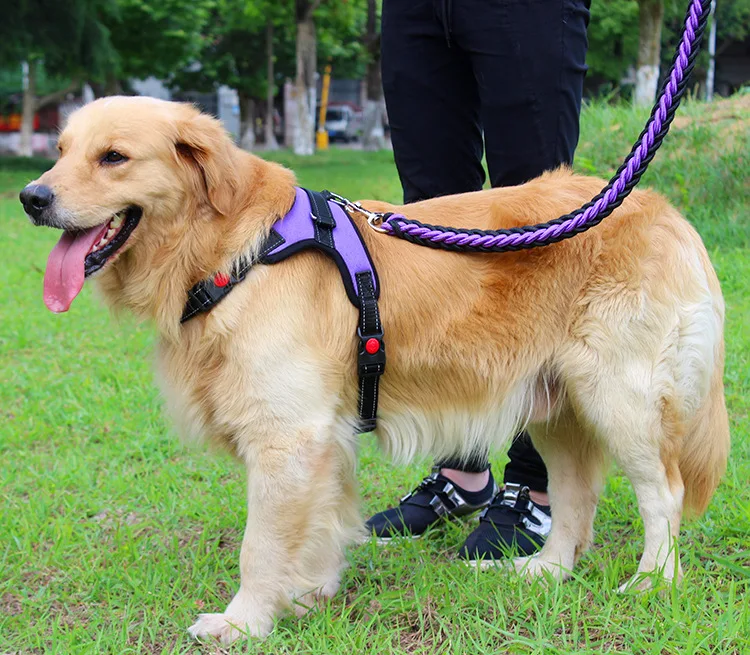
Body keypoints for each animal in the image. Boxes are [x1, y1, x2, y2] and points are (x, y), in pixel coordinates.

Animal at [20, 97, 732, 644]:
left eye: (113, 157)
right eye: (60, 149)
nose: (31, 196)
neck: (235, 254)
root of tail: (660, 206)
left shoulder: (288, 437)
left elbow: (260, 546)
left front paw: (243, 623)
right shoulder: (322, 437)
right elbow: (322, 523)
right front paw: (309, 595)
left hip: (621, 397)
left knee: (662, 493)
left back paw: (651, 581)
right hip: (553, 400)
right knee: (576, 497)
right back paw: (542, 571)